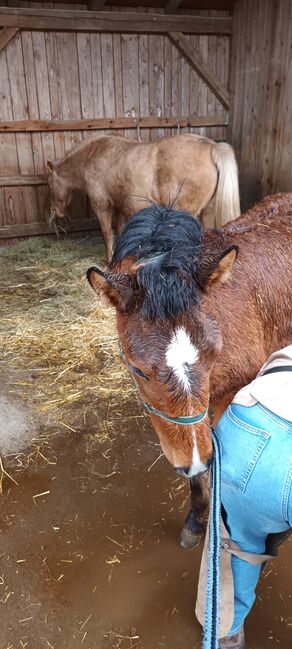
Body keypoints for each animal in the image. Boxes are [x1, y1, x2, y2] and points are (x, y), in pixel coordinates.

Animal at [47, 132, 240, 258]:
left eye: (49, 184)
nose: (56, 212)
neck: (93, 155)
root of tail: (211, 146)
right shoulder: (121, 208)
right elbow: (121, 231)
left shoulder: (102, 207)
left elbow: (107, 234)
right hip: (207, 212)